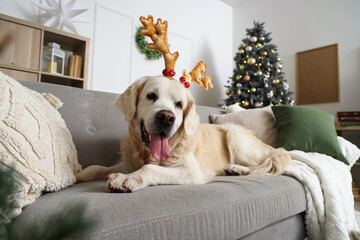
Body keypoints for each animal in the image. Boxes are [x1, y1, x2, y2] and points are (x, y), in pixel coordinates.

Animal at [75, 76, 290, 192]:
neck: (147, 153)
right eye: (151, 96)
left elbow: (150, 168)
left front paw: (128, 179)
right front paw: (77, 174)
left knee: (262, 164)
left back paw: (238, 168)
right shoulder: (128, 163)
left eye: (179, 104)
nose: (166, 117)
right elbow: (96, 167)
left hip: (234, 134)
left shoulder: (191, 172)